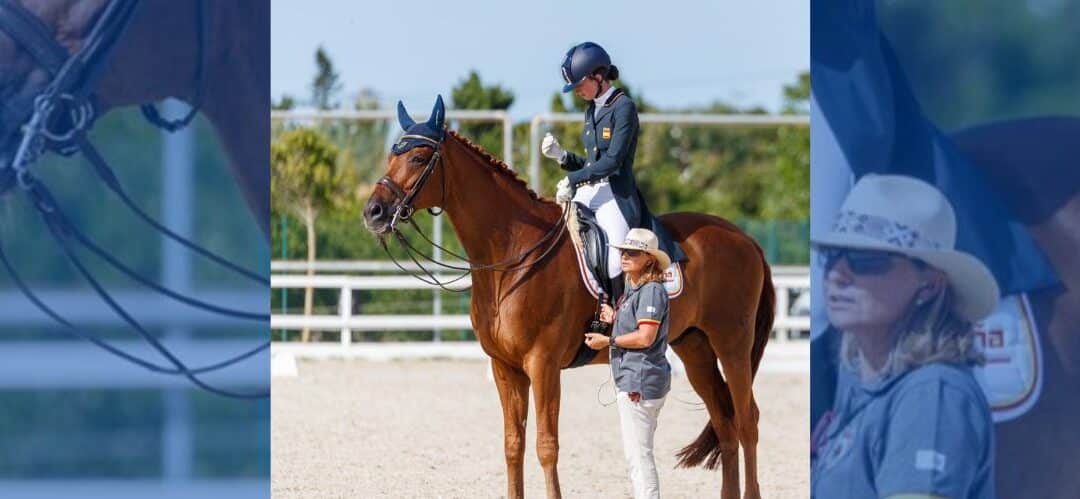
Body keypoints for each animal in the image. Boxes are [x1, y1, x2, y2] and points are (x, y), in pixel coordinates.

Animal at [363, 97, 776, 499]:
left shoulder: (542, 364)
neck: (513, 254)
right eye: (390, 157)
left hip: (732, 343)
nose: (373, 212)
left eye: (418, 158)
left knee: (747, 420)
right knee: (724, 421)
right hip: (694, 346)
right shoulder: (504, 367)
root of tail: (745, 238)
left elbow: (547, 445)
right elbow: (513, 444)